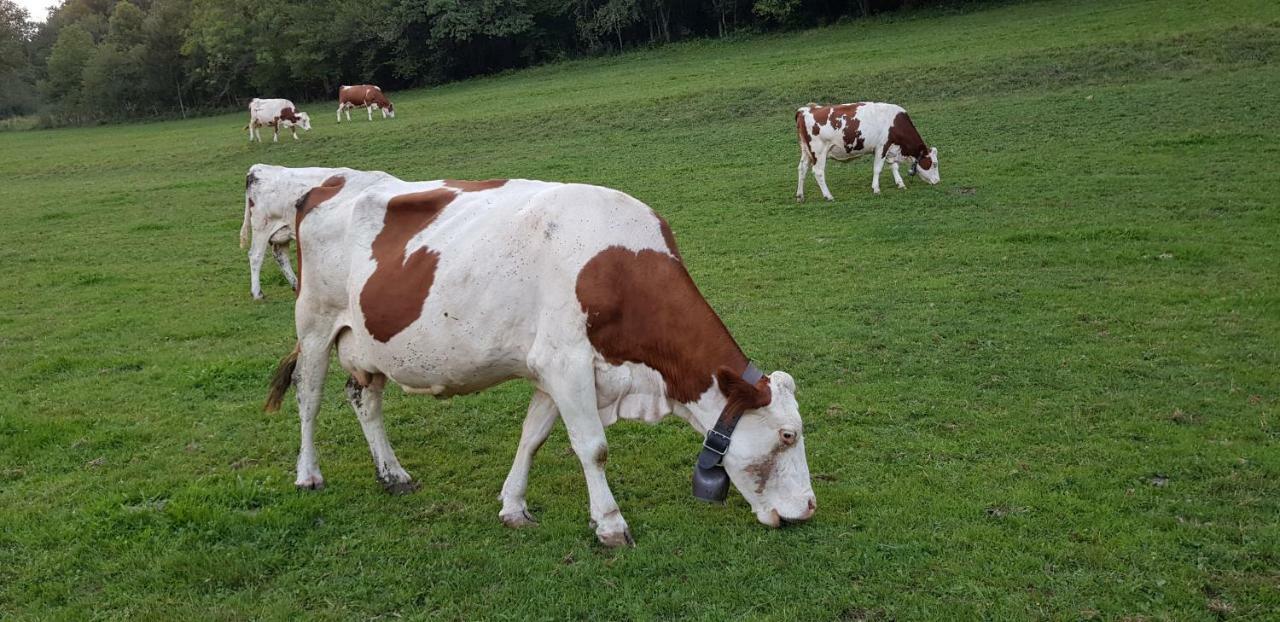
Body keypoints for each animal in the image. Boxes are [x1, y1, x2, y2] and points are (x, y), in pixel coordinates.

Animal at [262, 165, 819, 545]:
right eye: (788, 436)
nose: (810, 509)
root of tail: (327, 182)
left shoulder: (554, 369)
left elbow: (532, 437)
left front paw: (513, 507)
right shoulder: (565, 362)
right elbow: (592, 447)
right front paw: (610, 525)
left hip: (366, 344)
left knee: (365, 402)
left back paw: (393, 475)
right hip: (314, 324)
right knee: (309, 398)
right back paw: (308, 474)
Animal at [788, 101, 942, 200]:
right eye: (934, 164)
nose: (938, 181)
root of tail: (804, 110)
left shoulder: (890, 147)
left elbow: (893, 166)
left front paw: (900, 184)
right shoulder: (881, 146)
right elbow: (878, 169)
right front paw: (876, 189)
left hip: (806, 151)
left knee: (802, 168)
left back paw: (800, 195)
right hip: (819, 152)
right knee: (818, 172)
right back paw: (828, 196)